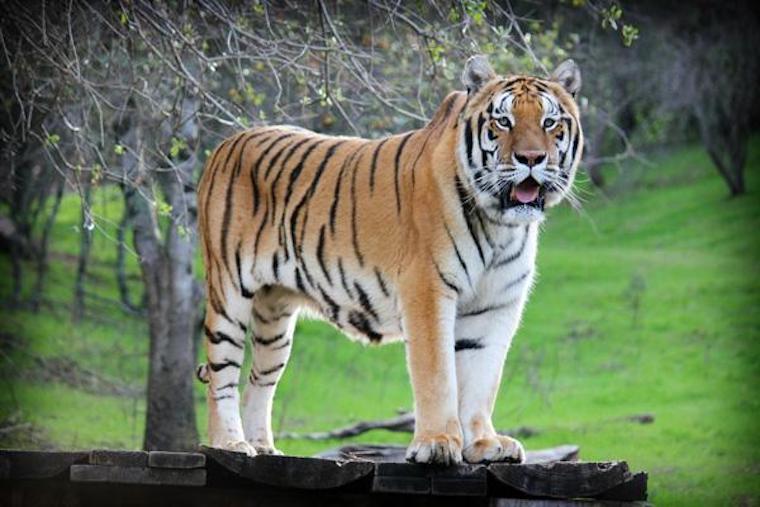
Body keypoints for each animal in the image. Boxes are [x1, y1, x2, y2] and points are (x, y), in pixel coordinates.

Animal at [196, 55, 583, 465]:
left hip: (275, 318)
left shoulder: (495, 306)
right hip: (228, 294)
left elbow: (483, 379)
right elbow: (437, 375)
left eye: (549, 122)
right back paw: (229, 444)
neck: (501, 225)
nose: (531, 158)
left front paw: (484, 443)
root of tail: (227, 142)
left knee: (259, 381)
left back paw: (263, 447)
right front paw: (437, 443)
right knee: (222, 377)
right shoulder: (427, 291)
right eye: (503, 121)